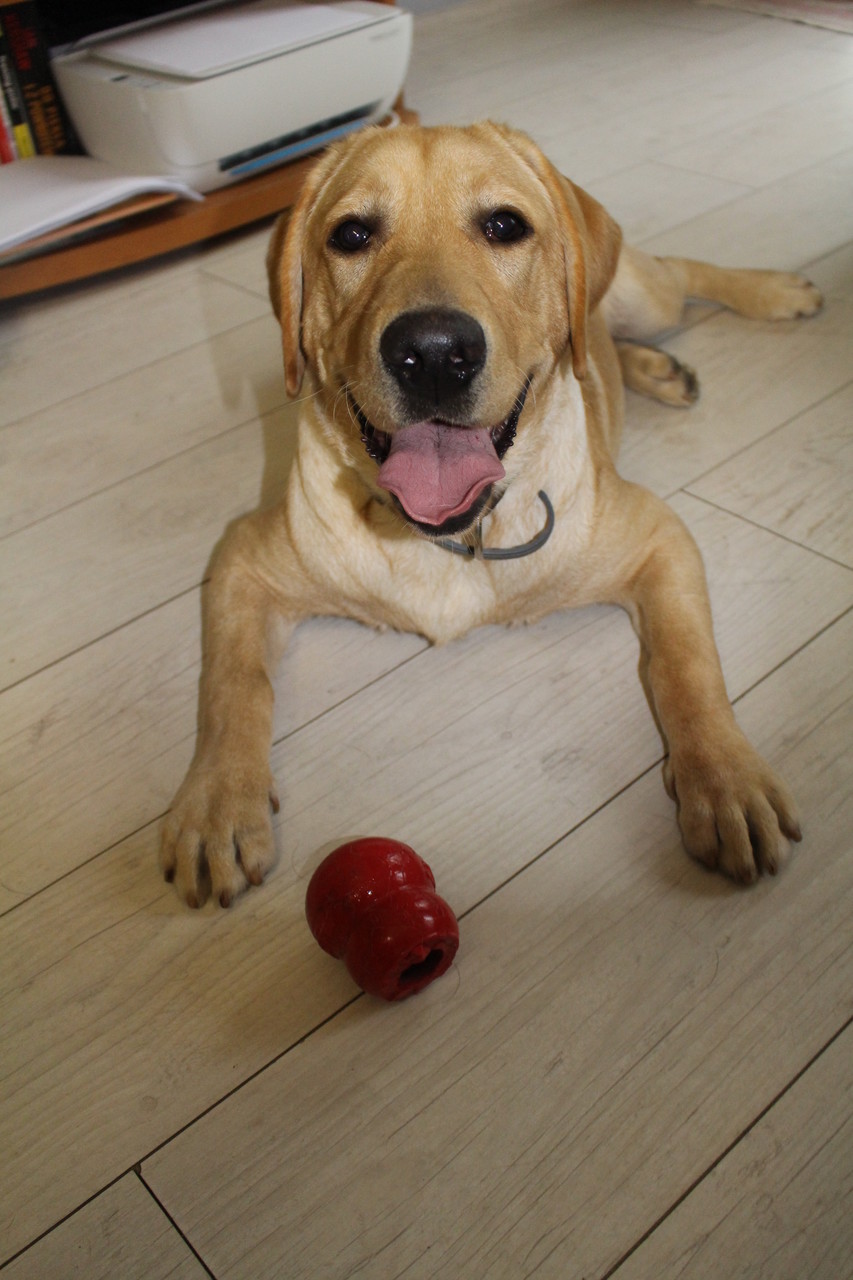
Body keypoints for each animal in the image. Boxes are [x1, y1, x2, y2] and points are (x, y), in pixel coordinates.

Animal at [160, 122, 821, 908]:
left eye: (504, 226)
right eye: (350, 235)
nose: (432, 352)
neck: (453, 534)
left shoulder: (661, 539)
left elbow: (686, 668)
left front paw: (724, 782)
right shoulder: (242, 559)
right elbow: (230, 686)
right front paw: (217, 804)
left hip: (645, 295)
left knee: (680, 274)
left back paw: (774, 291)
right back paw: (655, 369)